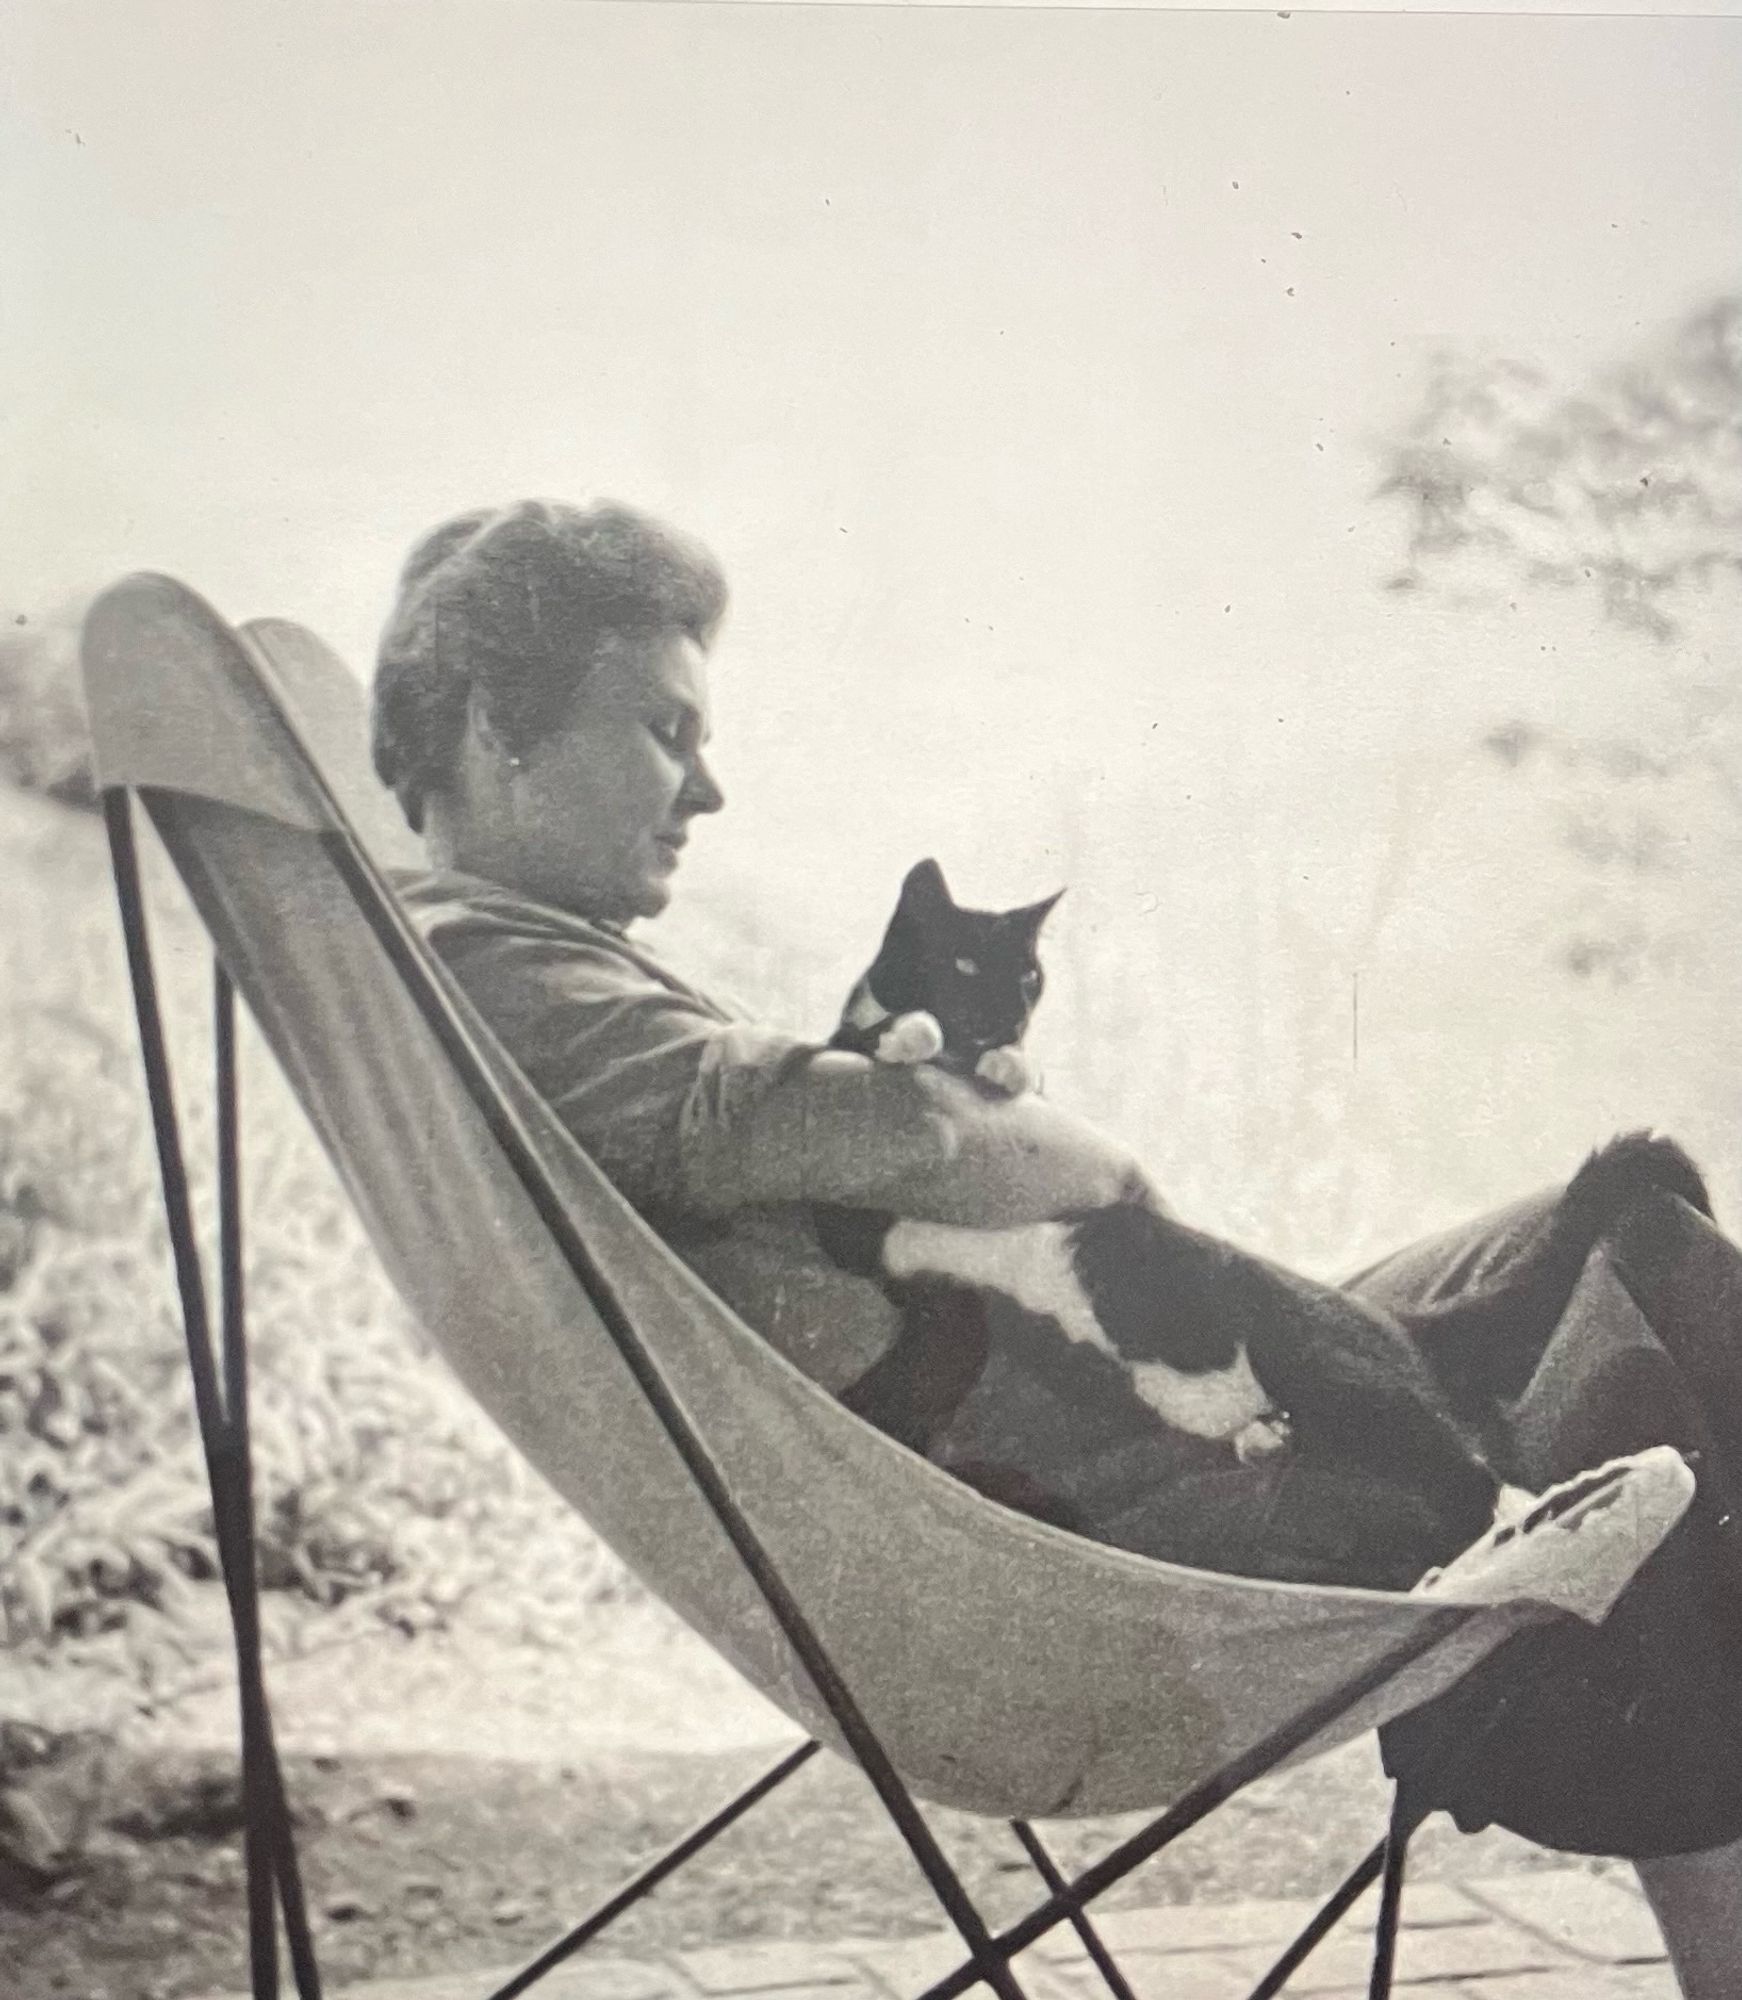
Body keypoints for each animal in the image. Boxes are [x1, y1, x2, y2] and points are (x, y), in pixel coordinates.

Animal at [820, 860, 1720, 1560]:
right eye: (967, 968)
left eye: (1030, 980)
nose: (1009, 1019)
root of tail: (1392, 1321)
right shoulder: (875, 1246)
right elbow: (868, 1059)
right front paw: (908, 1038)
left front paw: (1000, 1065)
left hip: (1315, 1359)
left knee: (1474, 1471)